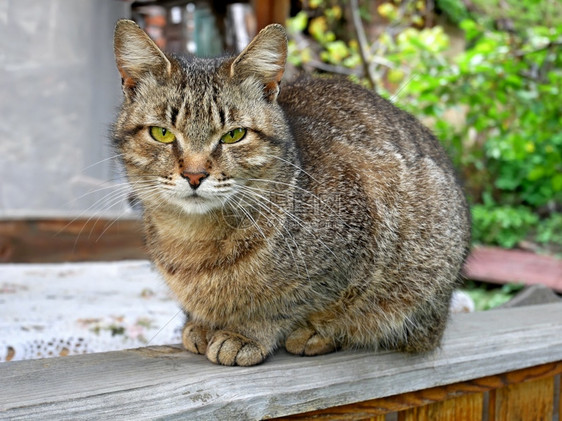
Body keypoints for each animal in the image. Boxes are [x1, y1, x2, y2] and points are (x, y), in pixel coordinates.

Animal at [110, 19, 468, 364]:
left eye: (234, 135)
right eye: (162, 133)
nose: (194, 175)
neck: (193, 242)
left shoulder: (363, 235)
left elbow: (285, 304)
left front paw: (246, 332)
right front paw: (201, 323)